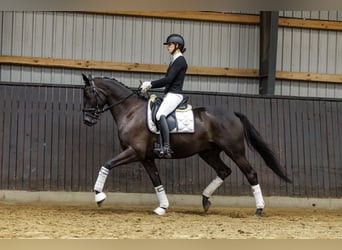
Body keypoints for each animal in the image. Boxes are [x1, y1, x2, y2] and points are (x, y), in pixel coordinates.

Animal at [81, 73, 292, 217]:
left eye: (89, 94)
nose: (87, 120)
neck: (131, 111)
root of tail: (232, 113)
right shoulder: (146, 157)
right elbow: (156, 181)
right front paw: (162, 207)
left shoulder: (135, 152)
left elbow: (106, 164)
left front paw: (99, 196)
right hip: (208, 152)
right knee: (224, 171)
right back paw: (205, 200)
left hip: (235, 150)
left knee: (251, 174)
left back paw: (259, 209)